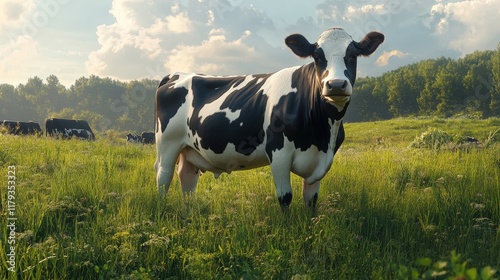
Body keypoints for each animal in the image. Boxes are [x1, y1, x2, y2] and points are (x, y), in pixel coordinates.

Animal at [154, 27, 384, 208]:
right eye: (317, 57)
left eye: (353, 55)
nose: (335, 85)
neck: (321, 136)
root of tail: (177, 74)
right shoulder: (278, 153)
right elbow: (285, 197)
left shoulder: (319, 161)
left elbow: (311, 200)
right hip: (167, 143)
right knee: (164, 177)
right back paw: (162, 209)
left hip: (189, 149)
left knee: (187, 179)